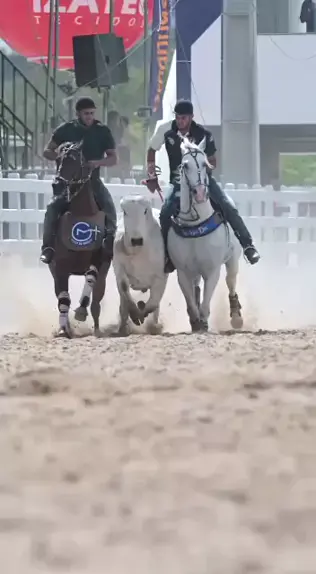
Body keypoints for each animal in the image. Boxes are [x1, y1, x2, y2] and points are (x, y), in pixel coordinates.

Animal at [48, 142, 113, 340]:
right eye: (58, 159)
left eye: (74, 160)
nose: (57, 185)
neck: (82, 213)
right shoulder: (59, 267)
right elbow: (63, 298)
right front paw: (63, 329)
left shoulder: (98, 260)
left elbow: (91, 277)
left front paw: (81, 311)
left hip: (104, 275)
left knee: (96, 302)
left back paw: (97, 329)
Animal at [113, 196, 168, 336]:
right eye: (125, 212)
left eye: (145, 211)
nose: (136, 240)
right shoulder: (119, 270)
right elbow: (124, 289)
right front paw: (134, 314)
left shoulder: (161, 276)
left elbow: (154, 301)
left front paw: (143, 313)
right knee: (123, 304)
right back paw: (122, 327)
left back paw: (154, 325)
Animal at [167, 137, 243, 332]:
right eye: (185, 165)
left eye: (204, 163)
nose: (200, 193)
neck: (196, 224)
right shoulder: (183, 272)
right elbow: (190, 302)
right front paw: (195, 322)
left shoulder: (212, 270)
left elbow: (206, 303)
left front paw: (204, 321)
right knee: (196, 289)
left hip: (233, 260)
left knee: (231, 282)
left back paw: (236, 317)